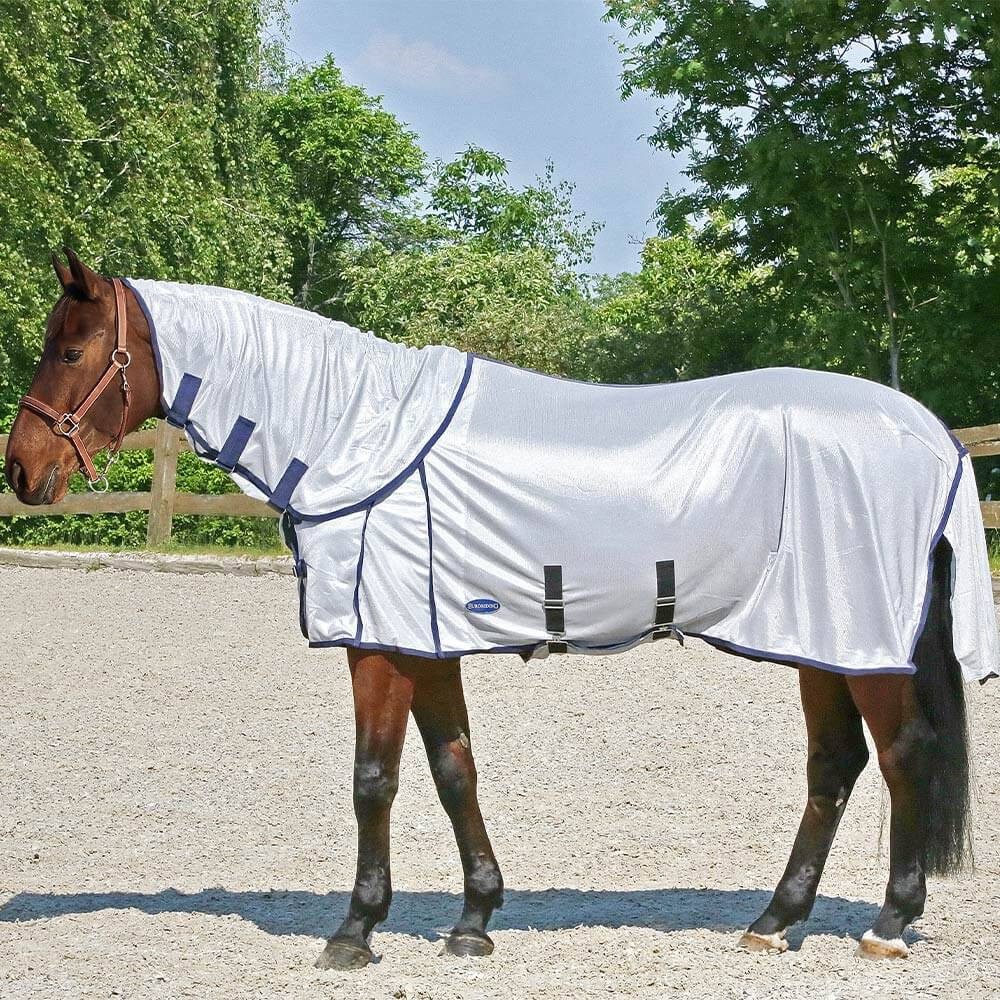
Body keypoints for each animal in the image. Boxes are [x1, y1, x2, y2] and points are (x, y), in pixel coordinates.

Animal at [5, 250, 992, 969]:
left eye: (70, 350)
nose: (21, 470)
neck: (352, 429)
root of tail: (929, 435)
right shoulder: (427, 643)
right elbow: (454, 771)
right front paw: (475, 918)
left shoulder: (379, 646)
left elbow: (374, 780)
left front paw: (354, 933)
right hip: (817, 638)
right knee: (834, 766)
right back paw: (773, 921)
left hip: (864, 646)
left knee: (902, 758)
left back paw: (888, 925)